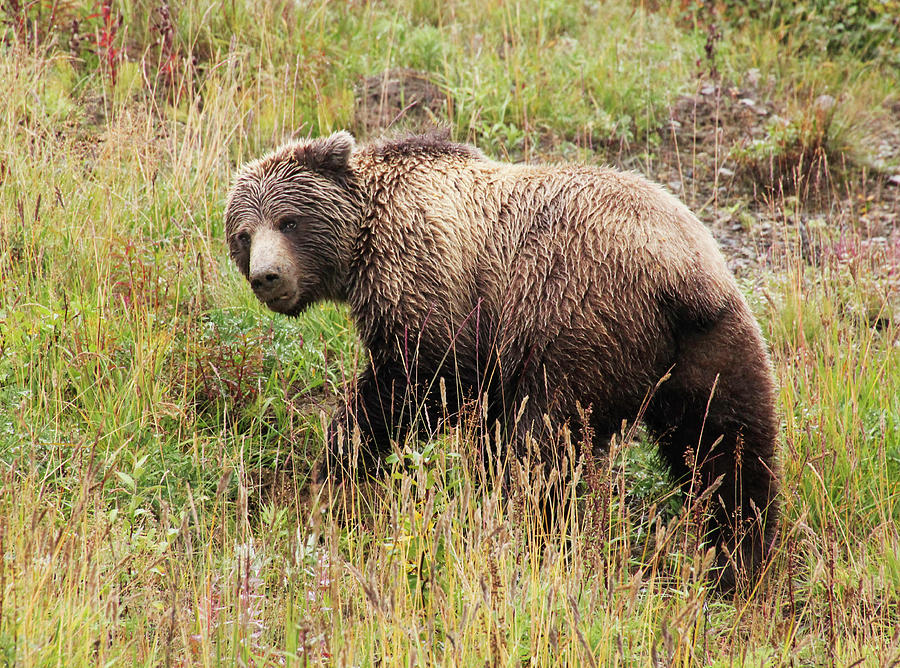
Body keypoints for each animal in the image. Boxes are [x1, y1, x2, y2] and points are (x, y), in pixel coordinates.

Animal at [224, 130, 779, 588]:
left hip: (577, 320)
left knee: (545, 446)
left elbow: (415, 381)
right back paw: (742, 560)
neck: (363, 243)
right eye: (243, 233)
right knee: (730, 450)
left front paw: (337, 462)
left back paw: (527, 532)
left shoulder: (428, 273)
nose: (266, 277)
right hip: (713, 343)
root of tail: (676, 272)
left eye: (289, 221)